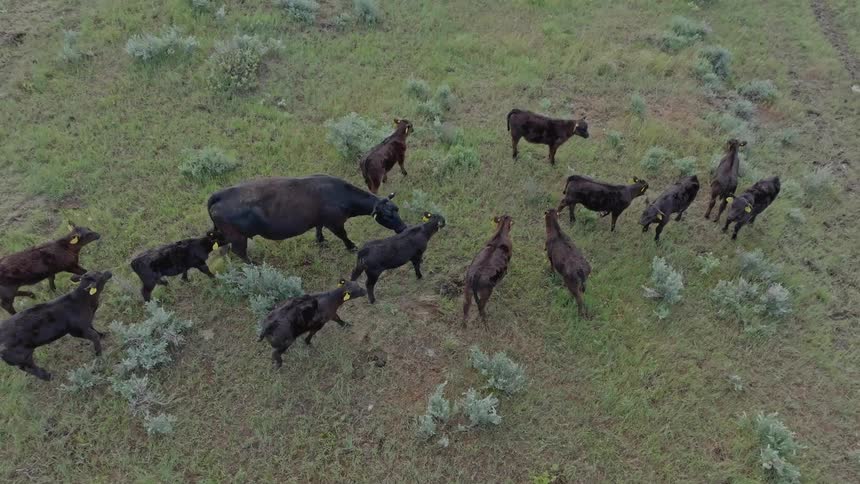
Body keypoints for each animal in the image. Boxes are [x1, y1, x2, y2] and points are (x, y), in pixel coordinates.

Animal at [207, 175, 408, 262]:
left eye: (397, 209)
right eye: (387, 216)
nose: (403, 228)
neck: (340, 194)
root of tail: (220, 194)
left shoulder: (321, 220)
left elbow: (318, 228)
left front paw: (320, 240)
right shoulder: (335, 223)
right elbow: (344, 236)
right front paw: (352, 247)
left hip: (225, 234)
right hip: (238, 237)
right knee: (239, 252)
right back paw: (254, 265)